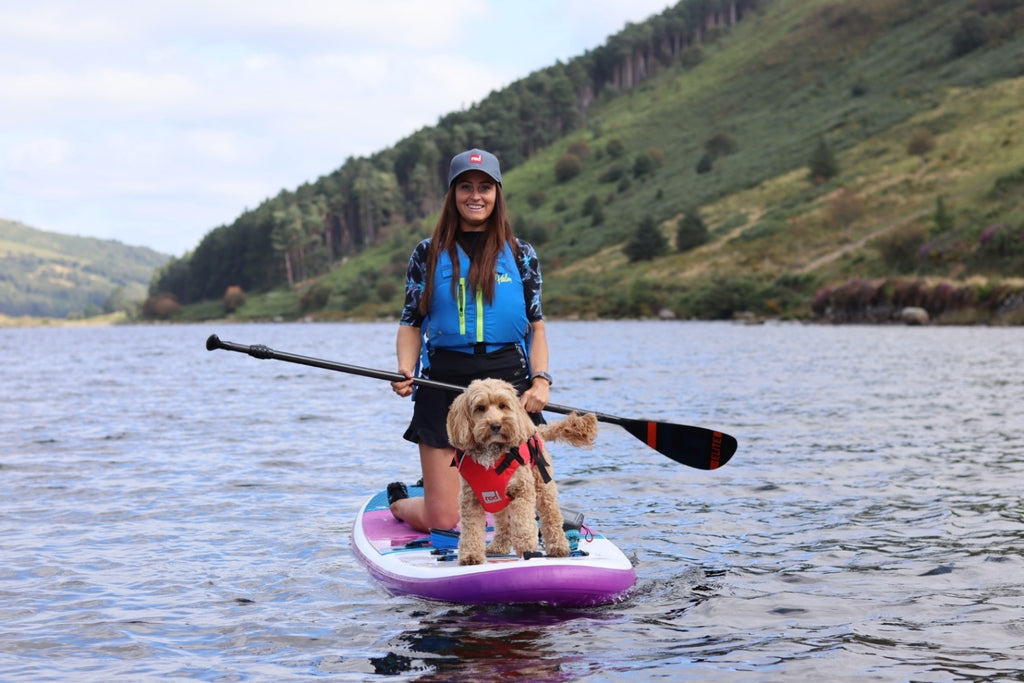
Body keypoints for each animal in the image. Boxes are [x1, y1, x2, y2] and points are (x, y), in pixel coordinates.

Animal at [448, 378, 598, 565]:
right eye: (480, 408)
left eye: (503, 405)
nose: (496, 425)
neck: (492, 452)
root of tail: (536, 429)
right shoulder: (471, 499)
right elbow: (471, 531)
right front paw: (470, 556)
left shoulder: (522, 490)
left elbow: (523, 522)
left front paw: (526, 546)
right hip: (499, 501)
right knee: (503, 523)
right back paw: (498, 546)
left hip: (543, 486)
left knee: (551, 516)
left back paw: (558, 547)